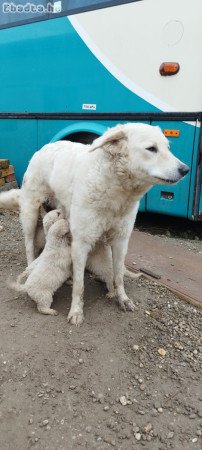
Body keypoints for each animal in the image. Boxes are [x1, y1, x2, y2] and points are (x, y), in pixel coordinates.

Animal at [1, 124, 189, 324]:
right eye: (152, 149)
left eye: (168, 147)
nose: (186, 169)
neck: (116, 190)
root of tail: (44, 148)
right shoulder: (80, 243)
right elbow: (79, 286)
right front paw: (76, 311)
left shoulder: (121, 240)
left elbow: (118, 275)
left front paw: (122, 298)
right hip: (30, 213)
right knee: (29, 246)